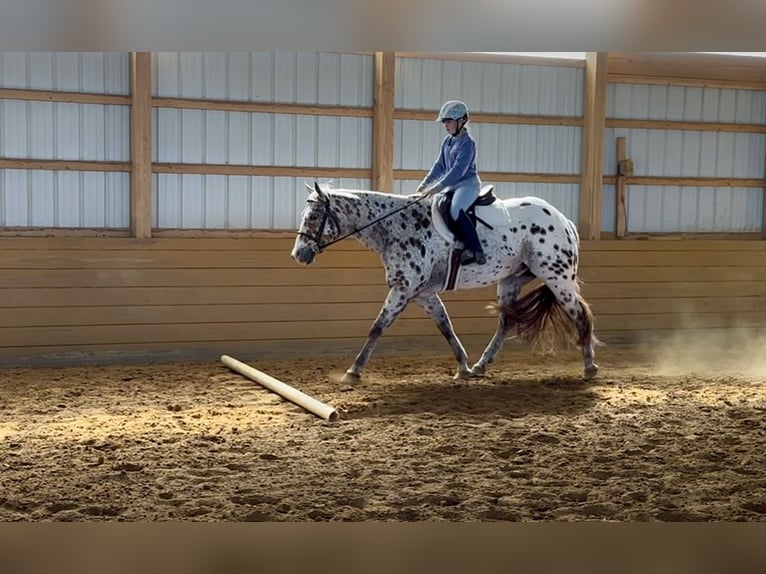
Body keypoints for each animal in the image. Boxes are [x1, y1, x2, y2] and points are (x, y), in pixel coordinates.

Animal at [290, 181, 600, 384]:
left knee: (580, 315)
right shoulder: (422, 294)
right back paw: (481, 365)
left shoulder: (403, 289)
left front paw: (353, 372)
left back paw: (589, 367)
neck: (394, 227)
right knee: (506, 322)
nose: (299, 254)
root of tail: (564, 220)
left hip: (557, 276)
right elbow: (445, 326)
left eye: (315, 216)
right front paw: (463, 367)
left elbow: (377, 327)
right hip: (512, 279)